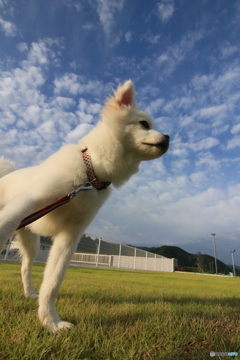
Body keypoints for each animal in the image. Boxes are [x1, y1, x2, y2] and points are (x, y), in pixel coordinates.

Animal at [0, 81, 169, 332]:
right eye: (144, 124)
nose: (168, 137)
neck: (91, 172)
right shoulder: (25, 204)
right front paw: (51, 322)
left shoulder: (70, 236)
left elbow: (52, 283)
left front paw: (51, 323)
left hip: (31, 242)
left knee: (25, 267)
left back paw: (30, 294)